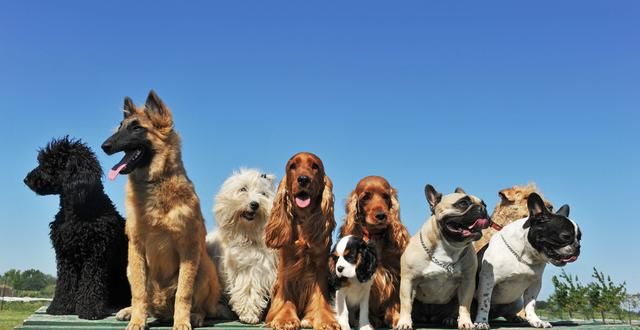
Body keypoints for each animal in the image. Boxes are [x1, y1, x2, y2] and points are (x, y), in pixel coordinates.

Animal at [100, 89, 220, 328]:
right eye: (120, 127)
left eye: (137, 128)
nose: (104, 146)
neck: (154, 182)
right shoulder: (136, 248)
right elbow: (138, 293)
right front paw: (137, 320)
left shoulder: (188, 248)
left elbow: (184, 292)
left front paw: (182, 321)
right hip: (130, 268)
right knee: (145, 298)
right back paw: (131, 311)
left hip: (204, 267)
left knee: (201, 305)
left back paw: (195, 315)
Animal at [208, 169, 278, 324]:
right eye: (243, 189)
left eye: (263, 194)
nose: (254, 204)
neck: (248, 234)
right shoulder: (247, 271)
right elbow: (248, 291)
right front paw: (249, 315)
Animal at [262, 153, 340, 330]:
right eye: (293, 166)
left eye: (315, 166)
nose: (303, 179)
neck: (304, 220)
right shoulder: (287, 267)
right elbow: (286, 295)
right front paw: (285, 318)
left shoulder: (320, 267)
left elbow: (320, 296)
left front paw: (325, 320)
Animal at [396, 184, 490, 328]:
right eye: (463, 203)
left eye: (484, 204)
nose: (483, 208)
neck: (449, 247)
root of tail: (430, 317)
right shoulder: (408, 280)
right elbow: (406, 304)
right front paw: (404, 322)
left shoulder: (467, 282)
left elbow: (464, 305)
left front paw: (465, 322)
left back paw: (450, 319)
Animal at [476, 193, 580, 330]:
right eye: (565, 236)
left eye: (580, 237)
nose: (578, 246)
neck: (525, 255)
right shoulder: (488, 279)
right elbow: (484, 302)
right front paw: (481, 322)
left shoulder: (534, 284)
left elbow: (531, 304)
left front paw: (535, 320)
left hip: (516, 303)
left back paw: (515, 318)